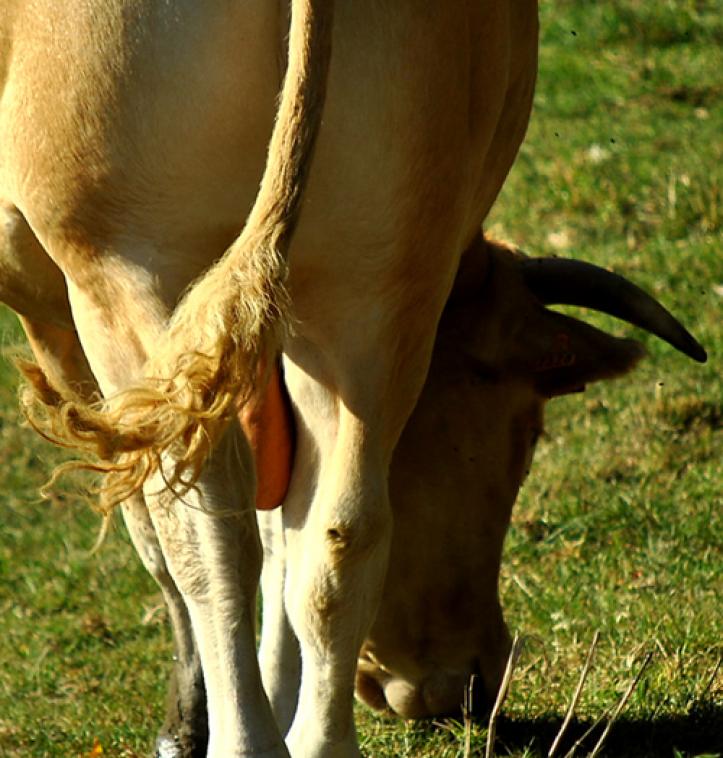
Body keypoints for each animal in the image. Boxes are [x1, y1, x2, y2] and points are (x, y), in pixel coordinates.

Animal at [0, 1, 544, 758]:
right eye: (521, 434)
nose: (466, 678)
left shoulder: (55, 311)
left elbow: (156, 529)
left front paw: (186, 722)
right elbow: (285, 516)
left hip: (131, 272)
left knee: (203, 530)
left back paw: (241, 735)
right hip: (378, 281)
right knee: (338, 527)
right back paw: (315, 737)